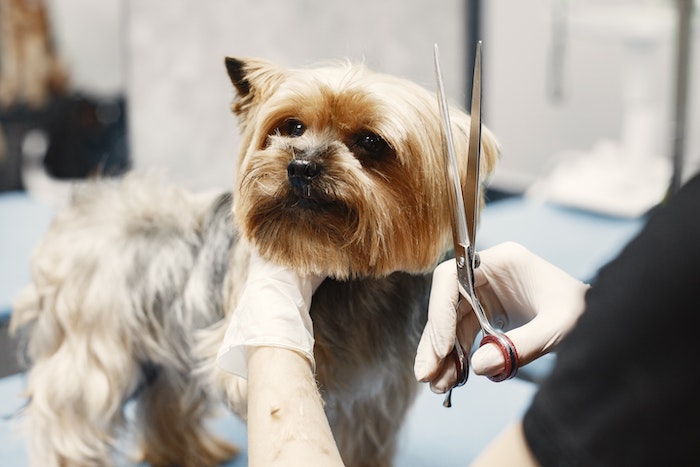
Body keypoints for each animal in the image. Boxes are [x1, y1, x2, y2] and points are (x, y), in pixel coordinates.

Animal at [8, 55, 500, 467]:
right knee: (69, 415)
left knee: (166, 398)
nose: (301, 166)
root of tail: (77, 208)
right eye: (293, 127)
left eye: (370, 142)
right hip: (92, 347)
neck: (349, 280)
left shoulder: (375, 400)